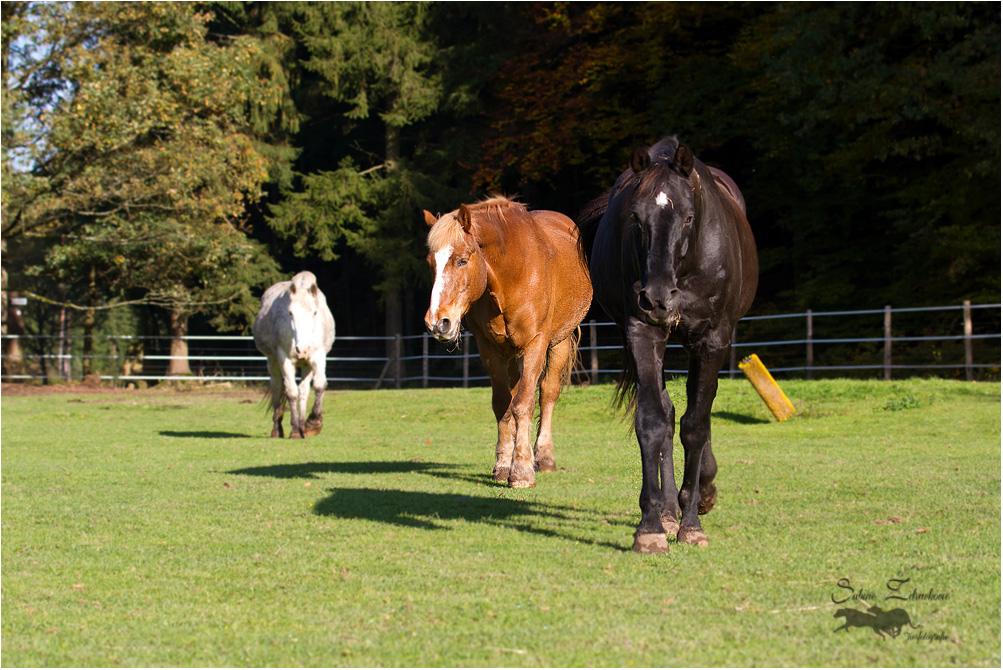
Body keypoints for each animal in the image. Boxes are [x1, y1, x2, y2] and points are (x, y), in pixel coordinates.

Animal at [252, 272, 335, 439]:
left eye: (315, 312)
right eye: (290, 313)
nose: (302, 350)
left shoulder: (318, 356)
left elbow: (319, 385)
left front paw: (313, 424)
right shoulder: (284, 359)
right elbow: (291, 392)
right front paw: (295, 431)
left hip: (307, 366)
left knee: (303, 391)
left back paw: (303, 427)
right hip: (273, 363)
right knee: (278, 388)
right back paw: (278, 429)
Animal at [421, 197, 589, 487]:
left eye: (462, 261)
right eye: (431, 263)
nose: (437, 322)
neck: (512, 275)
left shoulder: (535, 343)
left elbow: (523, 404)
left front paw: (521, 470)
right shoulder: (488, 347)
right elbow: (502, 404)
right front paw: (502, 465)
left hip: (559, 342)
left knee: (547, 393)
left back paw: (544, 457)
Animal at [577, 137, 754, 553]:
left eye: (688, 217)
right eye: (636, 218)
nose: (657, 298)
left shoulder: (712, 341)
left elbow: (697, 426)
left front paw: (692, 522)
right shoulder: (643, 333)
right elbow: (654, 422)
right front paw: (652, 525)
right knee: (670, 413)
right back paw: (671, 508)